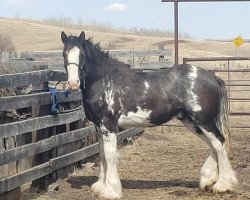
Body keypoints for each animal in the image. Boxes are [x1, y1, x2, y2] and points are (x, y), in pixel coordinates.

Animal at [61, 30, 238, 198]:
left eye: (82, 55)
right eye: (64, 54)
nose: (73, 83)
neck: (103, 80)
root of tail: (212, 77)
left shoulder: (108, 125)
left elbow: (110, 155)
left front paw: (111, 190)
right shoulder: (99, 127)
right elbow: (102, 153)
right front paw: (100, 186)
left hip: (204, 120)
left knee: (219, 144)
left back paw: (222, 185)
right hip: (191, 121)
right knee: (212, 145)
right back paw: (207, 180)